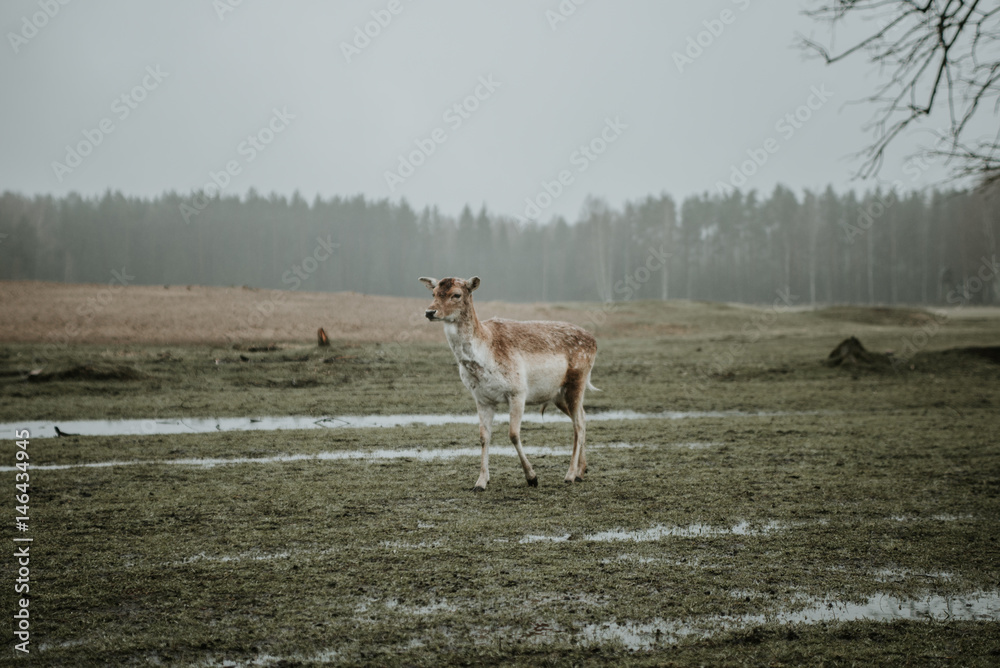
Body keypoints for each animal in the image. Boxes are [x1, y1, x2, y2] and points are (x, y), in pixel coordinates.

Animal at [419, 276, 598, 491]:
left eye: (456, 294)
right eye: (433, 293)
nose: (430, 312)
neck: (484, 354)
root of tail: (595, 341)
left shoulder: (518, 391)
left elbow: (513, 434)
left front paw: (532, 477)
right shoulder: (482, 398)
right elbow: (484, 437)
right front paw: (480, 482)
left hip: (577, 380)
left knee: (578, 425)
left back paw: (570, 475)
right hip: (558, 394)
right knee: (583, 416)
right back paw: (581, 472)